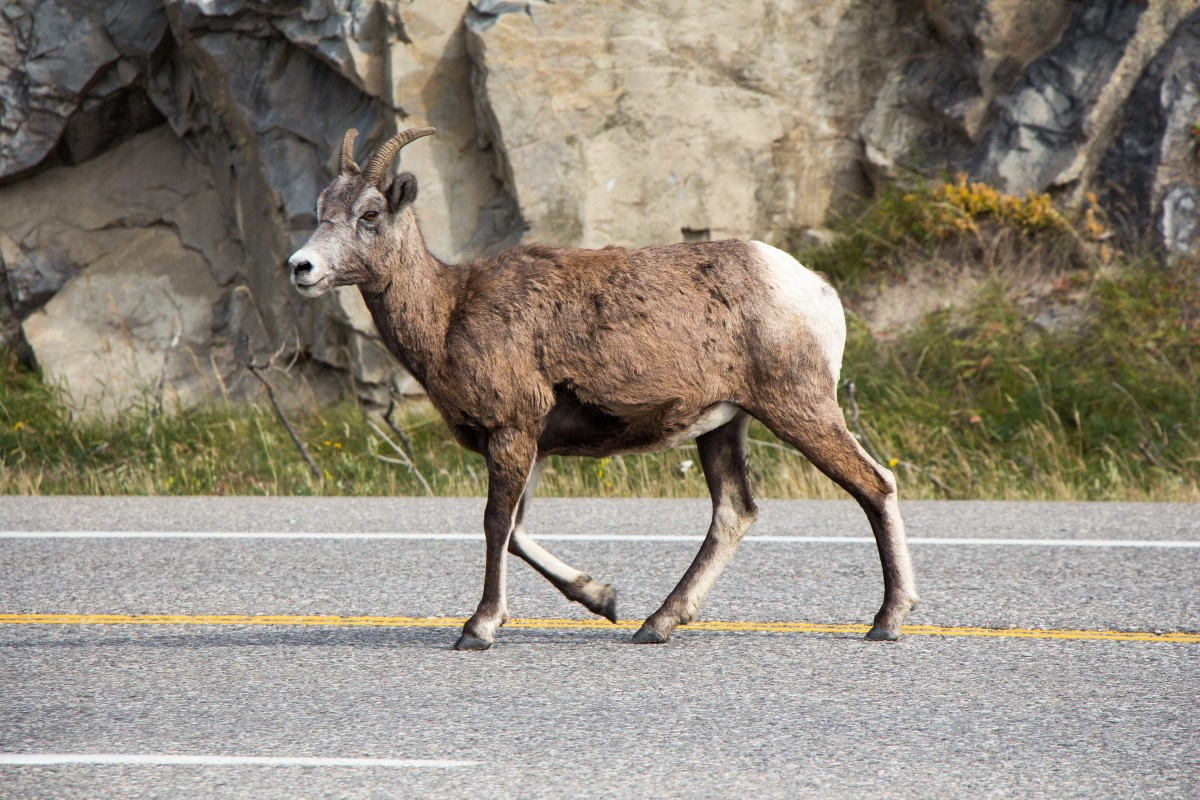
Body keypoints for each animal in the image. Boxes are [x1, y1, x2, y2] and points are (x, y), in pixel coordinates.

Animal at [288, 126, 916, 652]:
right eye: (321, 211)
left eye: (370, 213)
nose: (301, 266)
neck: (447, 315)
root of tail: (816, 289)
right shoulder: (532, 443)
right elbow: (516, 532)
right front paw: (603, 599)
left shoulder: (512, 432)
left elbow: (495, 524)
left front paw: (479, 629)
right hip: (723, 425)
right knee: (734, 512)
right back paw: (655, 624)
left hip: (798, 408)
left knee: (873, 485)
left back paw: (886, 622)